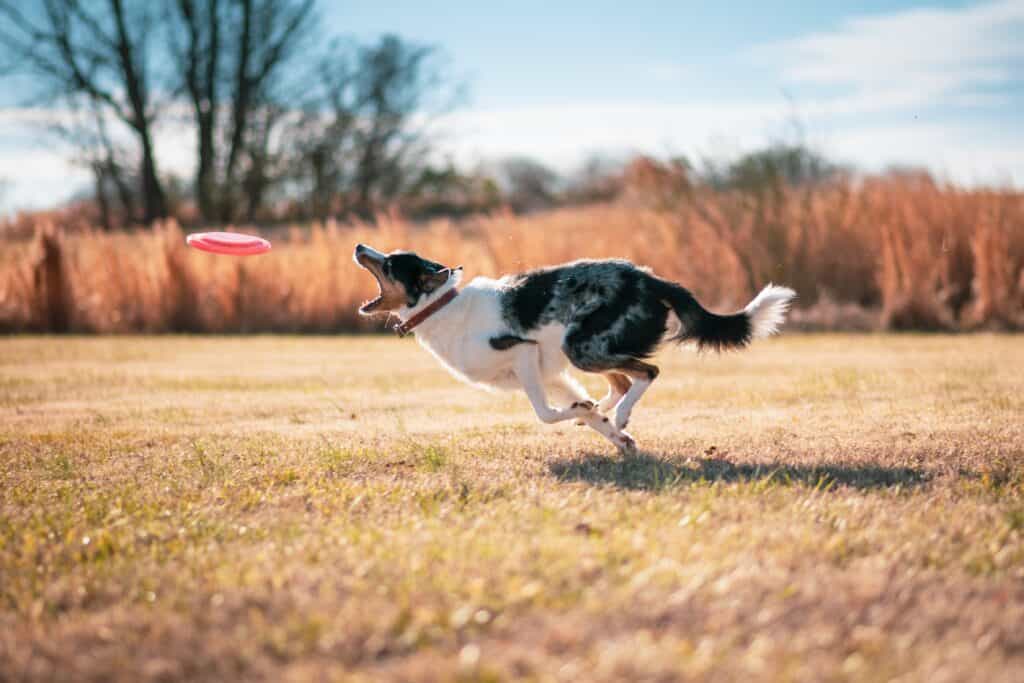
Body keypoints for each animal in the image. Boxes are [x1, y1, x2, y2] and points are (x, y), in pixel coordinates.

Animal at [356, 242, 794, 456]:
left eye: (391, 264)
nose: (360, 246)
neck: (444, 305)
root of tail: (651, 279)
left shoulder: (525, 354)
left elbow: (546, 414)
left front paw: (602, 422)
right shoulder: (551, 374)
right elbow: (576, 412)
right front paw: (607, 430)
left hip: (581, 346)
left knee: (646, 373)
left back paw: (621, 412)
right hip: (584, 352)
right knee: (621, 381)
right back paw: (606, 410)